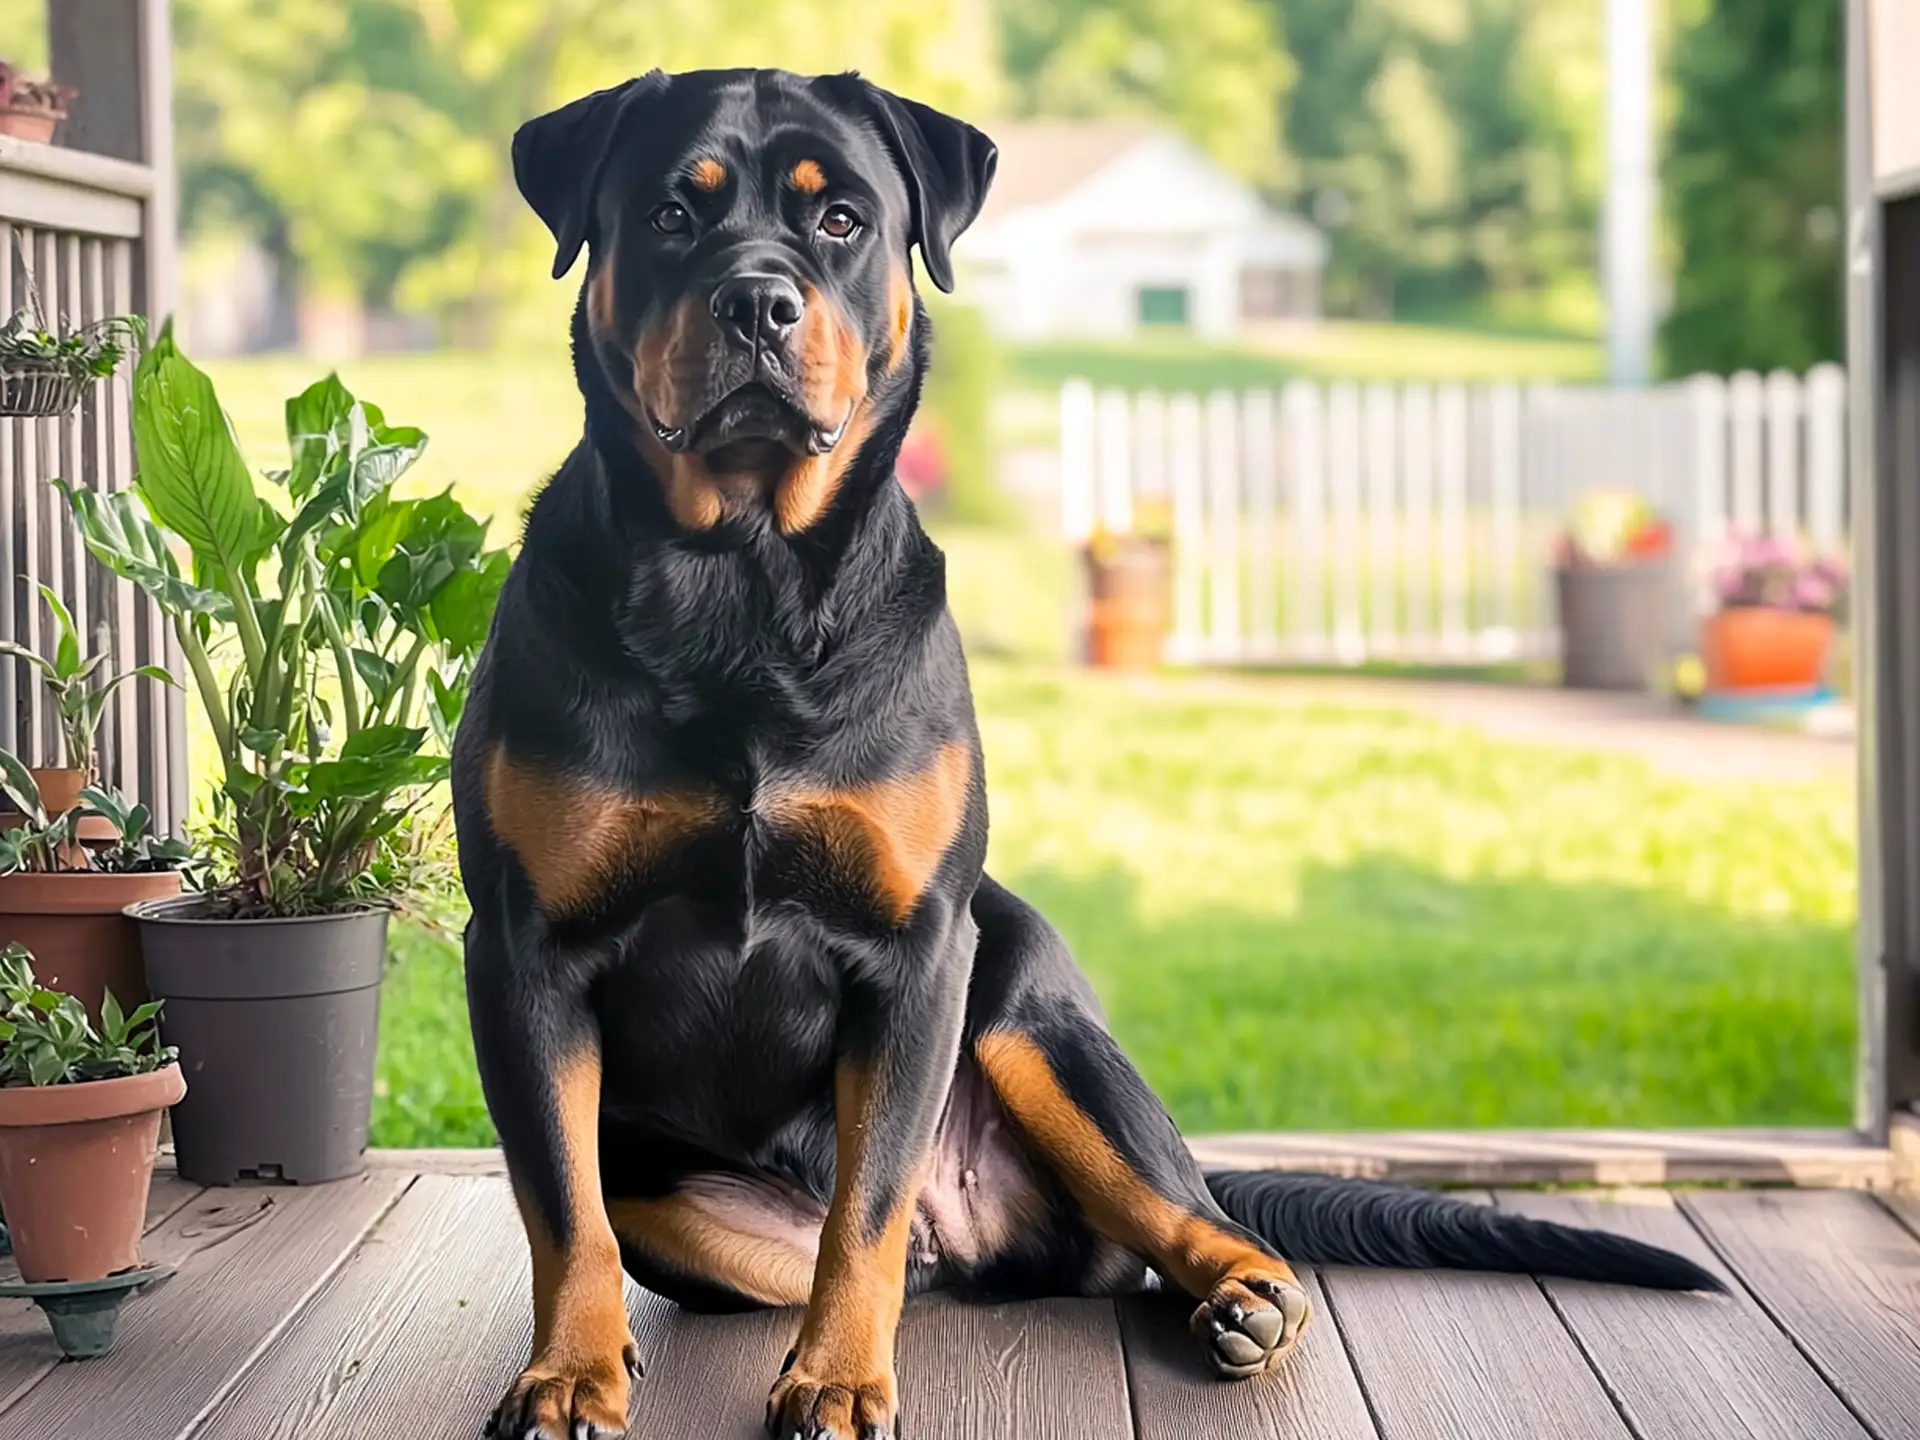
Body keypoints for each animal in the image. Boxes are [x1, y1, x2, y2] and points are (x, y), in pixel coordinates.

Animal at [453, 64, 1728, 1440]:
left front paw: (837, 1381)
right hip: (692, 1199)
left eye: (840, 219)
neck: (740, 580)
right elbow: (564, 1204)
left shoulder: (918, 946)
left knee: (1164, 1213)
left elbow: (866, 1199)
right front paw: (570, 1374)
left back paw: (1245, 1297)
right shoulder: (525, 949)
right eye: (669, 216)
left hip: (1030, 1016)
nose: (755, 300)